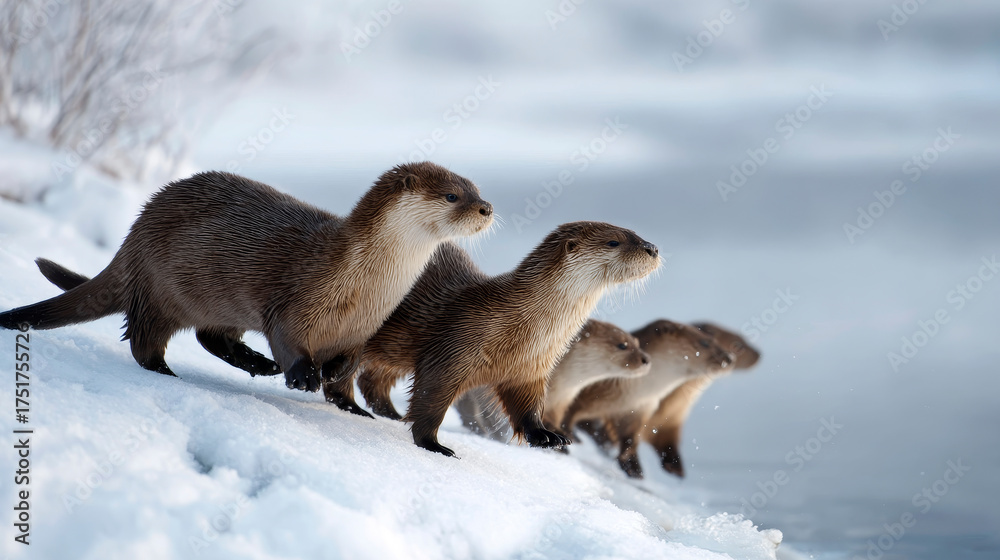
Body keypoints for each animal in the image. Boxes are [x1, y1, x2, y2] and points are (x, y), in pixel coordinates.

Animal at [3, 163, 493, 401]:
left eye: (477, 189)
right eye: (453, 195)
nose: (487, 207)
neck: (364, 283)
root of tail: (134, 235)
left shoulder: (367, 325)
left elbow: (352, 356)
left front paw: (332, 372)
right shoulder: (300, 297)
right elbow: (286, 336)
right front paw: (303, 375)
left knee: (210, 336)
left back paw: (256, 363)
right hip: (163, 290)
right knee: (145, 340)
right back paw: (169, 370)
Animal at [564, 319, 734, 478]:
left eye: (716, 341)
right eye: (705, 342)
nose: (730, 358)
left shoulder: (640, 409)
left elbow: (631, 438)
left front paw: (633, 466)